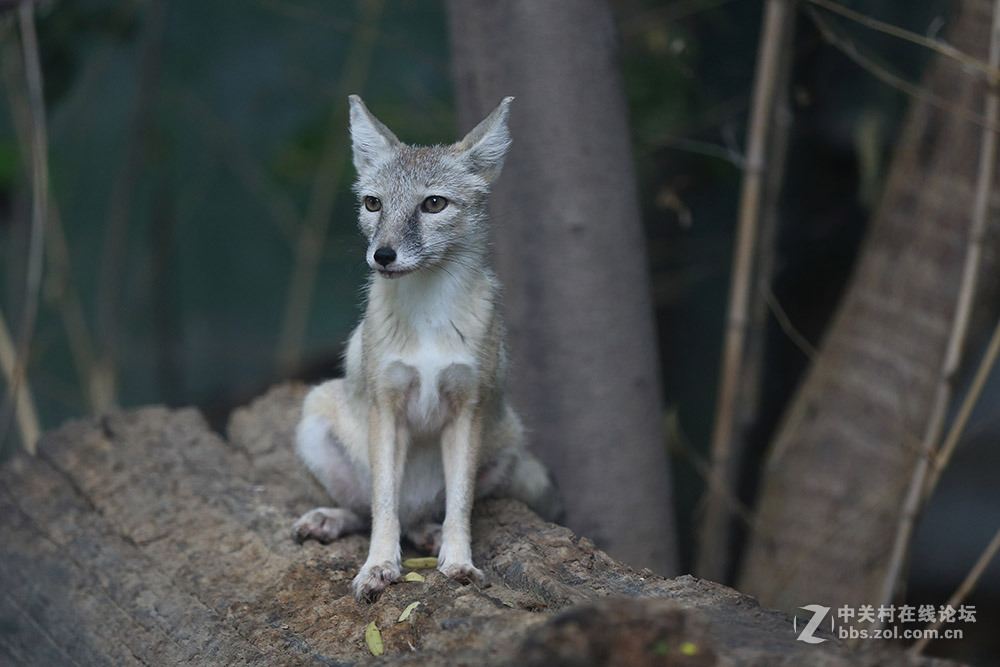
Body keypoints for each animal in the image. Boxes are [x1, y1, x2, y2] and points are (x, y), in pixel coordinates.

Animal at [292, 96, 564, 604]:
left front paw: (459, 562)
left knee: (422, 517)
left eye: (433, 203)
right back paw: (331, 520)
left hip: (508, 441)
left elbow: (460, 504)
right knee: (373, 511)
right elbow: (383, 505)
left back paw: (429, 535)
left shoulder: (468, 411)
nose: (382, 255)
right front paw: (378, 566)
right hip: (314, 418)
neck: (429, 322)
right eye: (373, 203)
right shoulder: (386, 408)